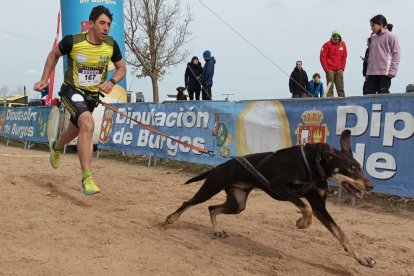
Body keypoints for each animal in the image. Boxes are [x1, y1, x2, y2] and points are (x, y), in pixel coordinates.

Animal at [165, 129, 376, 268]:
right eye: (350, 169)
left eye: (359, 167)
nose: (370, 186)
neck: (314, 165)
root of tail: (220, 165)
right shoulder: (278, 187)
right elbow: (305, 207)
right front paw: (302, 223)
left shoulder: (319, 206)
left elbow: (342, 235)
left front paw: (363, 259)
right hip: (210, 189)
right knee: (187, 203)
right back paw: (170, 219)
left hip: (238, 204)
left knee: (212, 208)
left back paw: (217, 231)